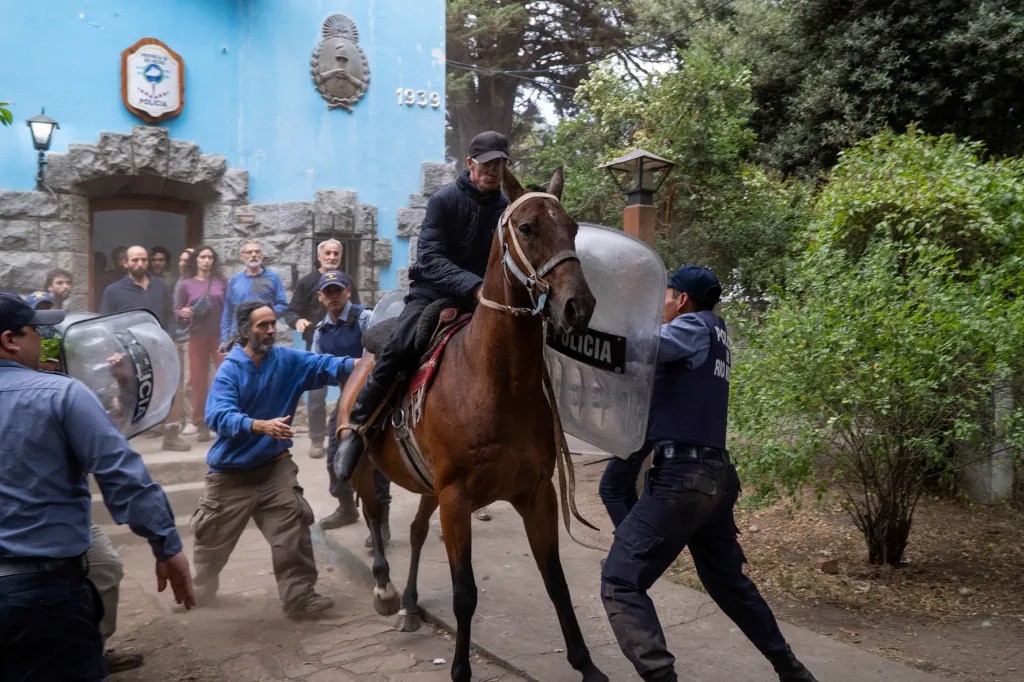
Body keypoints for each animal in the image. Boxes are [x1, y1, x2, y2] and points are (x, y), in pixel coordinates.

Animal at [335, 165, 606, 679]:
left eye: (574, 227)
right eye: (527, 227)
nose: (578, 306)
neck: (496, 381)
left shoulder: (535, 493)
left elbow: (556, 582)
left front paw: (587, 664)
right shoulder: (457, 498)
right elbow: (465, 594)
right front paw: (461, 669)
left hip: (428, 488)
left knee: (416, 531)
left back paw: (410, 605)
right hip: (367, 467)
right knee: (374, 515)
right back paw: (385, 589)